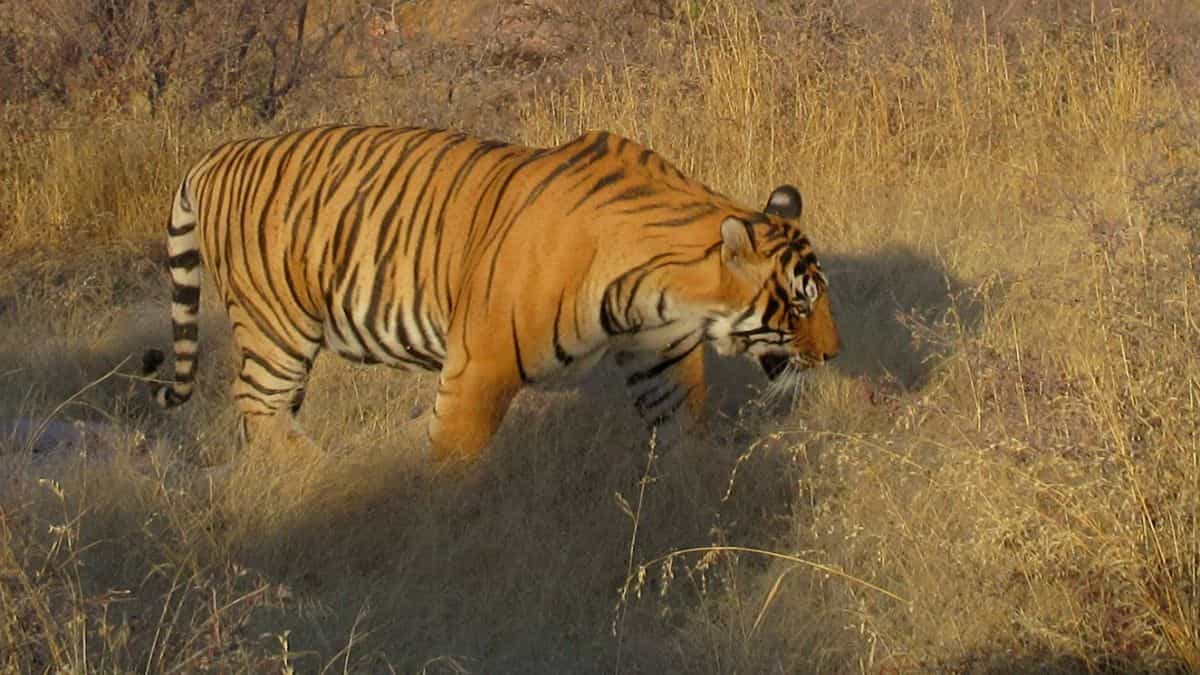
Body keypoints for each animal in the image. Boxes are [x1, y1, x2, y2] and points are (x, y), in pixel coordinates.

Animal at [141, 124, 840, 461]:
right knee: (258, 406)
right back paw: (320, 478)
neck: (664, 287)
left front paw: (697, 501)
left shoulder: (661, 354)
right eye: (801, 303)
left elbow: (683, 428)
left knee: (267, 414)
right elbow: (454, 457)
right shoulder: (480, 365)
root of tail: (217, 155)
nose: (834, 355)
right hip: (277, 328)